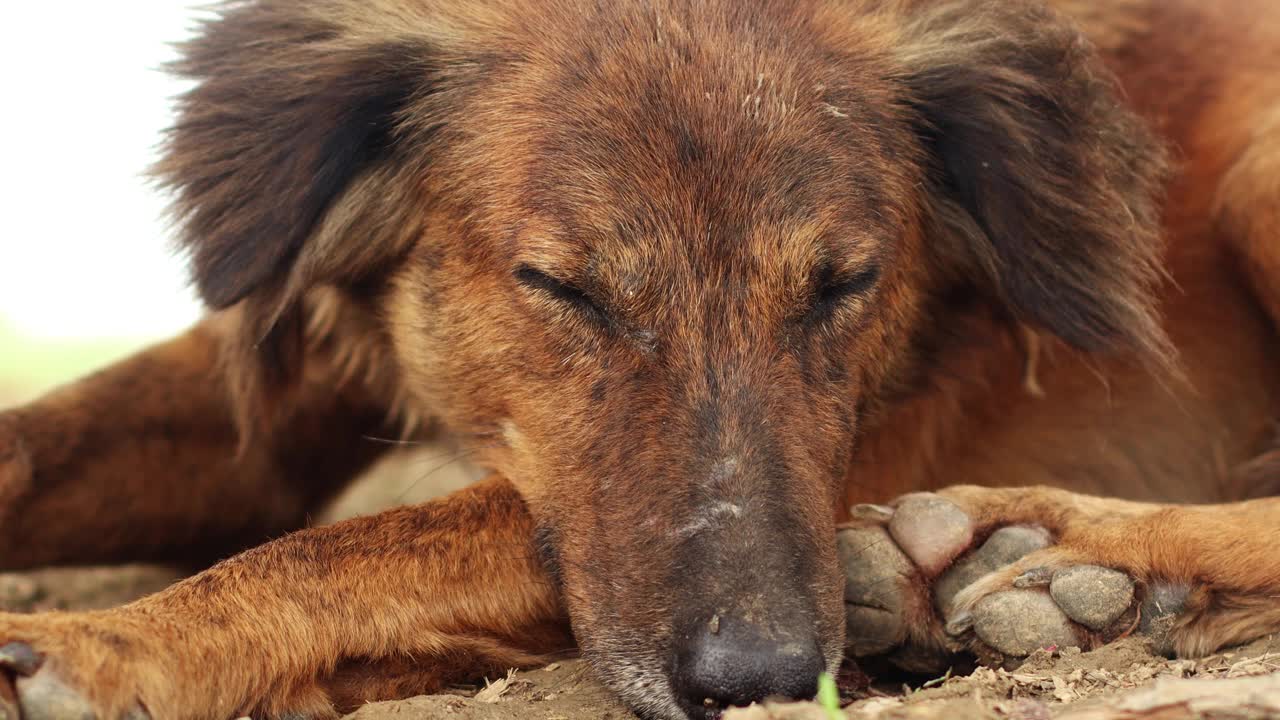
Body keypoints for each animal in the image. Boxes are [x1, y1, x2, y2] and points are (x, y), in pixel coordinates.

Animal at [2, 0, 1280, 712]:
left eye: (842, 286)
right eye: (561, 288)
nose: (763, 682)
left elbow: (342, 552)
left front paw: (101, 646)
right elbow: (33, 450)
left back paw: (1053, 554)